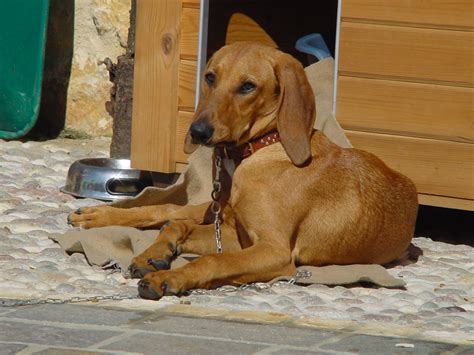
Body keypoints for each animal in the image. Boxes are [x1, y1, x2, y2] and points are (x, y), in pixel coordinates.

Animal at [68, 42, 416, 300]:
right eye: (210, 77)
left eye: (248, 86)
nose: (198, 132)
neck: (263, 147)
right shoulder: (238, 235)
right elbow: (181, 229)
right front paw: (159, 257)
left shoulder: (272, 250)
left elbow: (213, 259)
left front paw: (170, 277)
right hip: (215, 210)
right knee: (169, 211)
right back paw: (99, 219)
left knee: (174, 216)